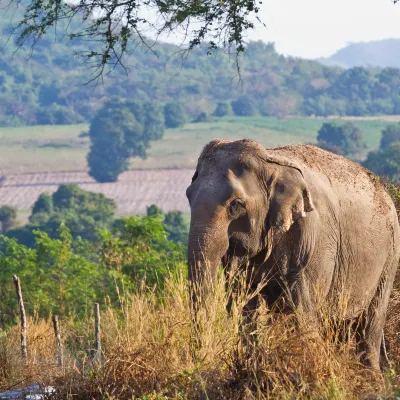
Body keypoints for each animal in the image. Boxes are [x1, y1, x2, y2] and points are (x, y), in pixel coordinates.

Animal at [185, 138, 400, 368]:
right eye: (188, 196)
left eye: (236, 205)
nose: (200, 361)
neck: (271, 163)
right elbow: (245, 306)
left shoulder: (314, 239)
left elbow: (303, 310)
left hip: (390, 255)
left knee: (371, 321)